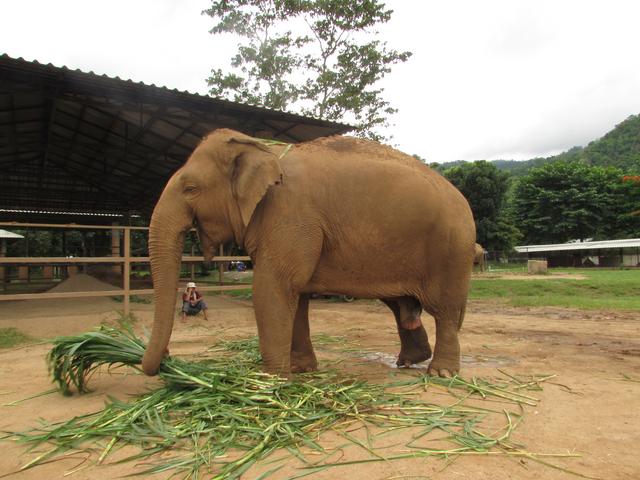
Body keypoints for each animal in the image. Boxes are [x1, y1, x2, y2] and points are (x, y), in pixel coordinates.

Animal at [141, 129, 476, 378]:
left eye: (191, 189)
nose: (167, 358)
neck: (263, 148)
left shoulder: (290, 215)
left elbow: (273, 288)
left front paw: (270, 382)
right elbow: (296, 296)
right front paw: (301, 371)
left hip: (451, 250)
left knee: (444, 309)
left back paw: (441, 373)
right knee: (402, 307)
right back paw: (409, 361)